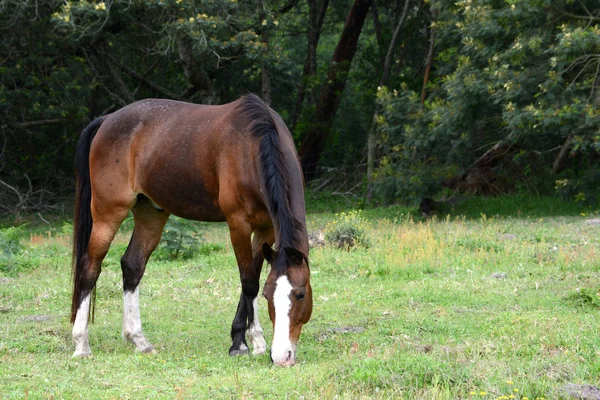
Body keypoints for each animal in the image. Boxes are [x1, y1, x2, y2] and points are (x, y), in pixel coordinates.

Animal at [71, 93, 314, 366]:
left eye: (301, 294)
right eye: (268, 295)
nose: (282, 355)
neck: (252, 145)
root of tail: (106, 120)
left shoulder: (266, 227)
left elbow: (251, 276)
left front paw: (244, 338)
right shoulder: (238, 224)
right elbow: (248, 281)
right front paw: (248, 343)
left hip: (150, 213)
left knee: (132, 266)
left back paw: (139, 340)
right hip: (108, 213)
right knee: (89, 268)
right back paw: (81, 344)